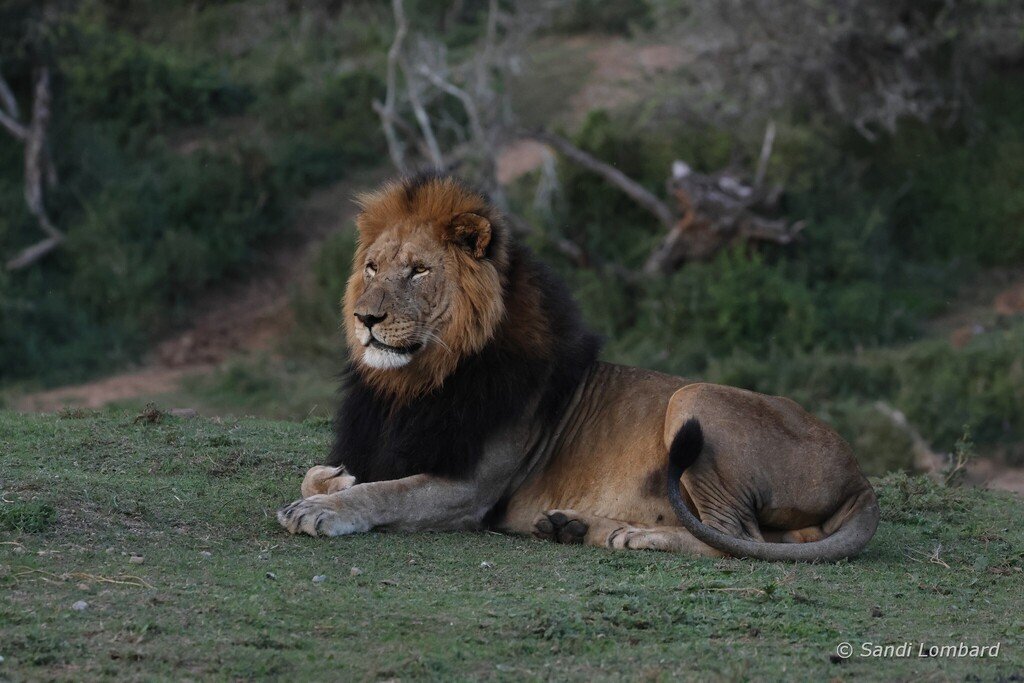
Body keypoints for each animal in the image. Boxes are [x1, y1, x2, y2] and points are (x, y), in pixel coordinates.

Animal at [277, 173, 880, 561]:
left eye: (419, 271)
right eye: (372, 267)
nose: (366, 318)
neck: (416, 383)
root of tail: (860, 477)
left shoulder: (471, 489)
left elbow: (386, 493)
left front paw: (322, 510)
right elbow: (322, 472)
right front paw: (329, 481)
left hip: (694, 399)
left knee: (740, 538)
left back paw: (635, 537)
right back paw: (573, 526)